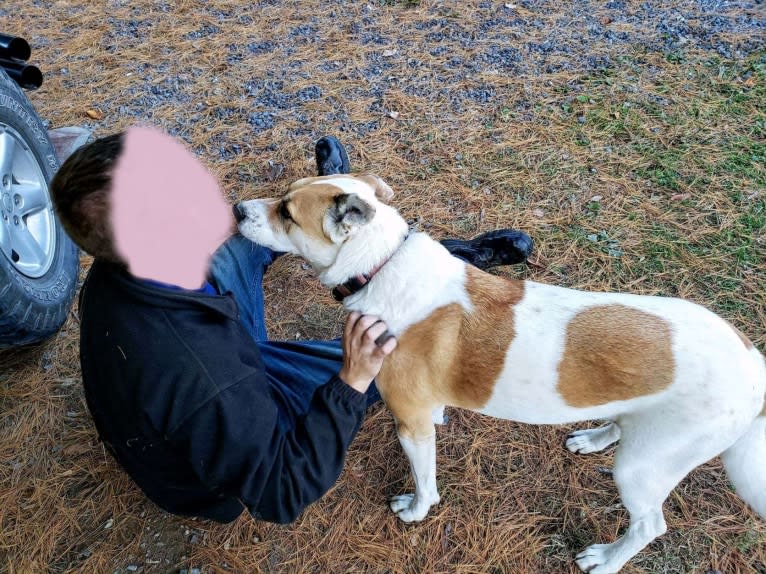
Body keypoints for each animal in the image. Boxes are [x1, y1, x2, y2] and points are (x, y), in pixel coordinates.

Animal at [237, 173, 764, 572]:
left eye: (287, 212)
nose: (239, 209)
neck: (381, 266)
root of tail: (753, 362)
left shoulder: (411, 422)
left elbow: (425, 483)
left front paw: (416, 510)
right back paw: (594, 438)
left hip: (641, 470)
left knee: (650, 526)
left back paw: (606, 560)